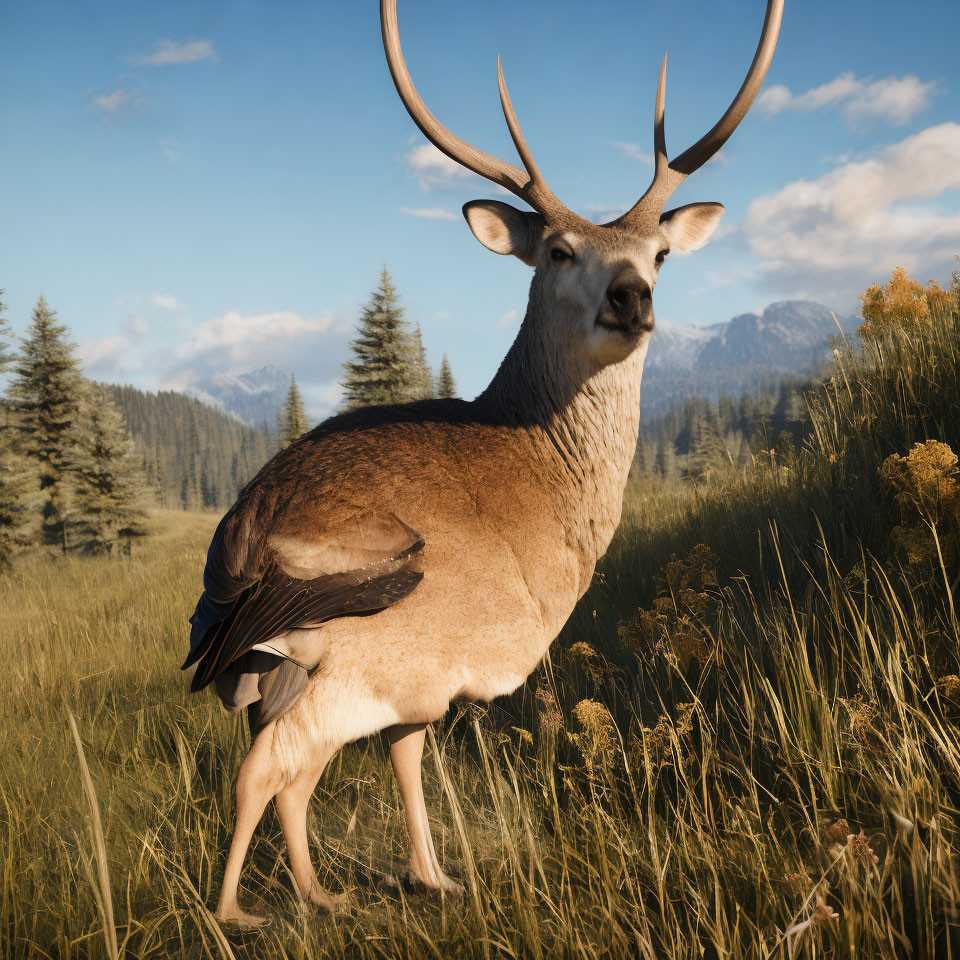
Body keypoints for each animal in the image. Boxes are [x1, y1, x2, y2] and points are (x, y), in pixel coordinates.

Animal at [184, 0, 784, 928]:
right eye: (559, 251)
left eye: (661, 253)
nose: (632, 297)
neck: (548, 484)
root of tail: (245, 540)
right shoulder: (417, 660)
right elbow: (391, 759)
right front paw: (428, 876)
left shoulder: (417, 682)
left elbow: (403, 761)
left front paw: (433, 875)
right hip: (332, 642)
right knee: (265, 772)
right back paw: (236, 911)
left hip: (270, 658)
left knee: (291, 776)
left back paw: (319, 890)